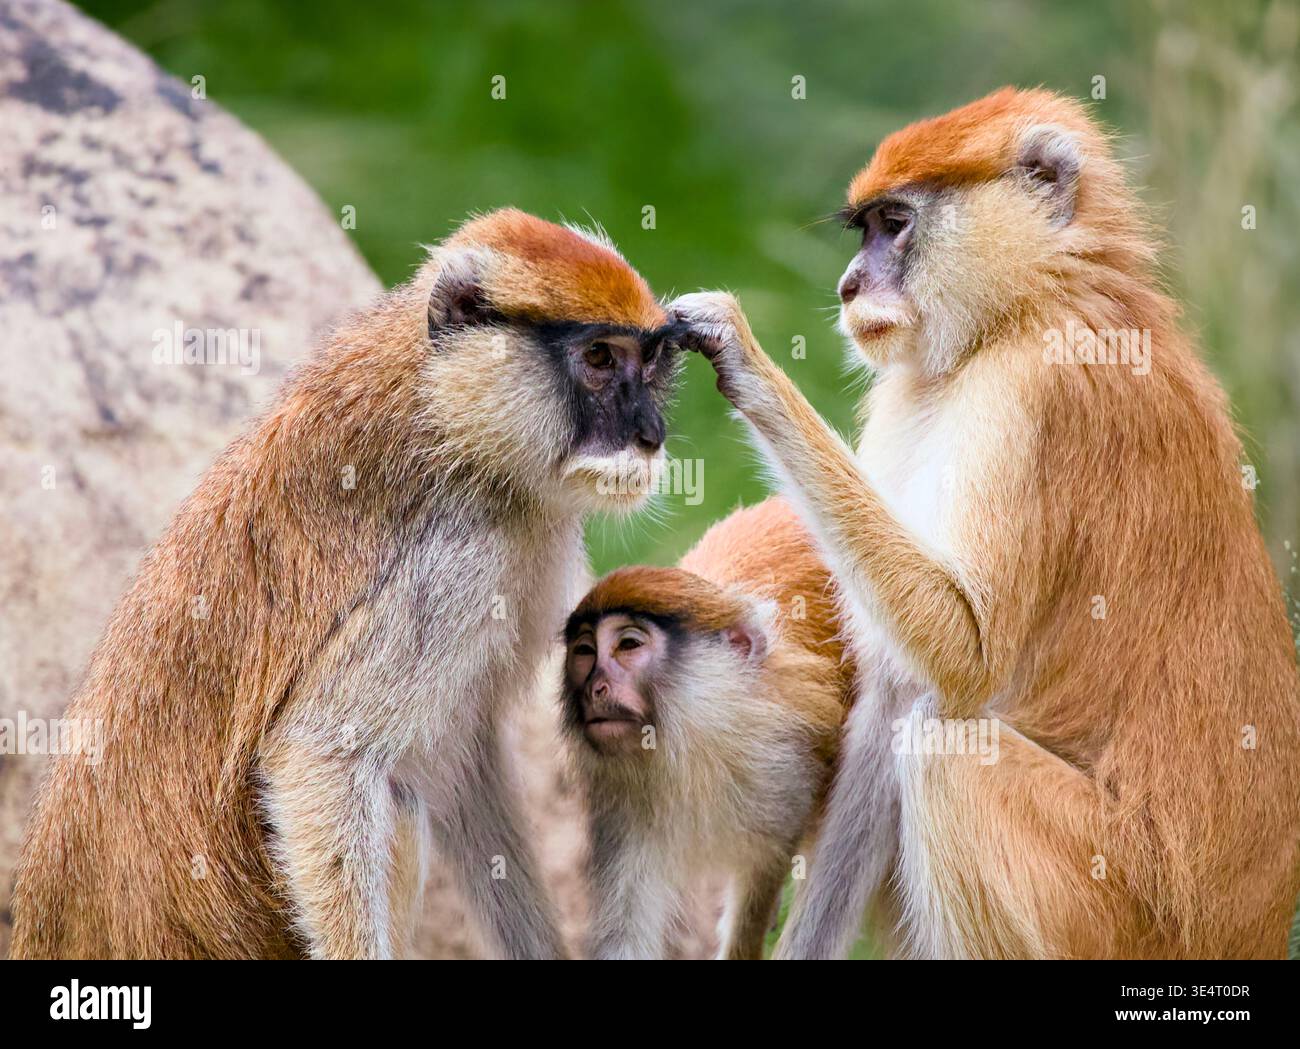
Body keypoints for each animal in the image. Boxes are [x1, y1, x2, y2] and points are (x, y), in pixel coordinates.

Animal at [11, 208, 684, 959]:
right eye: (598, 359)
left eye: (648, 363)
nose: (649, 432)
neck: (447, 410)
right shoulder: (463, 556)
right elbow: (322, 757)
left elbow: (464, 763)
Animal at [668, 88, 1300, 959]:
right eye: (866, 228)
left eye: (895, 222)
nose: (850, 285)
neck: (1030, 302)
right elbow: (897, 689)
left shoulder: (1030, 395)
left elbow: (963, 657)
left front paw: (744, 358)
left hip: (1116, 905)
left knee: (944, 750)